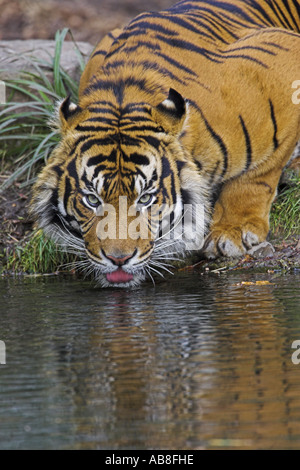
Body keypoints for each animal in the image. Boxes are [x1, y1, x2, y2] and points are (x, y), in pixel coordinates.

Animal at [29, 0, 300, 288]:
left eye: (146, 198)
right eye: (91, 199)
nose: (118, 259)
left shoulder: (284, 53)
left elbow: (258, 174)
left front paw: (233, 231)